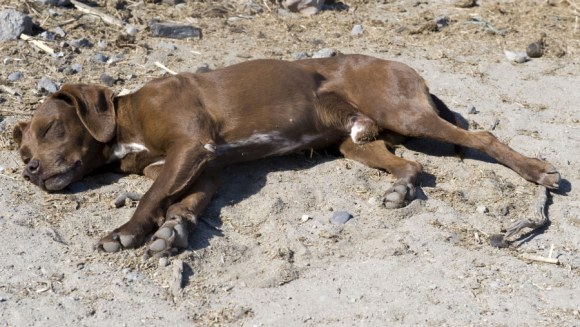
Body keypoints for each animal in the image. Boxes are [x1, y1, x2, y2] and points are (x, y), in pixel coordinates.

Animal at [12, 55, 556, 258]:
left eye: (52, 128)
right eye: (21, 150)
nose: (30, 171)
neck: (126, 121)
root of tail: (407, 69)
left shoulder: (190, 148)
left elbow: (151, 196)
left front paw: (127, 231)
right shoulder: (201, 167)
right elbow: (183, 202)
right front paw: (173, 230)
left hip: (405, 114)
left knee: (483, 137)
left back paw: (538, 171)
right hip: (355, 142)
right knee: (410, 163)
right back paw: (401, 186)